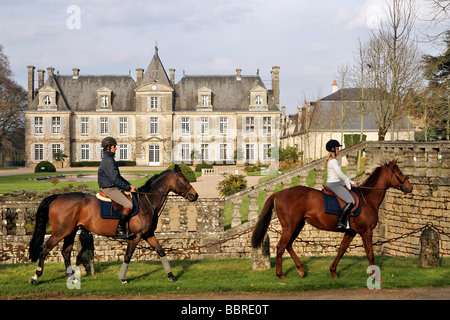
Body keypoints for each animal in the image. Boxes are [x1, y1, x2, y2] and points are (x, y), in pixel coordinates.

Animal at [27, 165, 197, 284]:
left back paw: (71, 278)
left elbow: (161, 251)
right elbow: (128, 256)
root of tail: (58, 196)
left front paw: (171, 276)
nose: (195, 195)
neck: (146, 201)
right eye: (184, 179)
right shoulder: (135, 237)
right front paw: (122, 278)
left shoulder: (148, 235)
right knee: (44, 249)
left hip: (70, 232)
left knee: (66, 253)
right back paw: (35, 277)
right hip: (60, 233)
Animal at [251, 160, 414, 280]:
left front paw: (333, 272)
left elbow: (341, 250)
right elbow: (370, 253)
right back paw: (281, 275)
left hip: (298, 225)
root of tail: (280, 192)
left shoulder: (351, 232)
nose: (410, 187)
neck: (367, 199)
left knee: (288, 245)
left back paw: (301, 269)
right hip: (290, 226)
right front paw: (375, 276)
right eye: (399, 173)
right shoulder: (366, 231)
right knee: (281, 247)